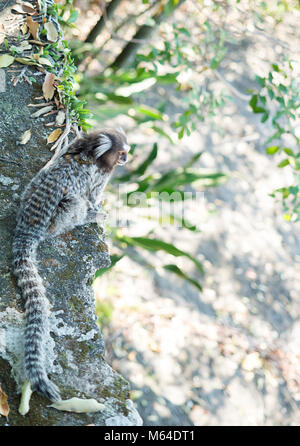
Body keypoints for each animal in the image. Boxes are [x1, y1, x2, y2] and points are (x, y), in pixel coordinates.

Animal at [12, 128, 129, 400]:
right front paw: (96, 209)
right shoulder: (98, 179)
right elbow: (93, 196)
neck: (88, 151)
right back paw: (87, 217)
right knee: (74, 203)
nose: (126, 159)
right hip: (57, 220)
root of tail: (27, 230)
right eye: (122, 153)